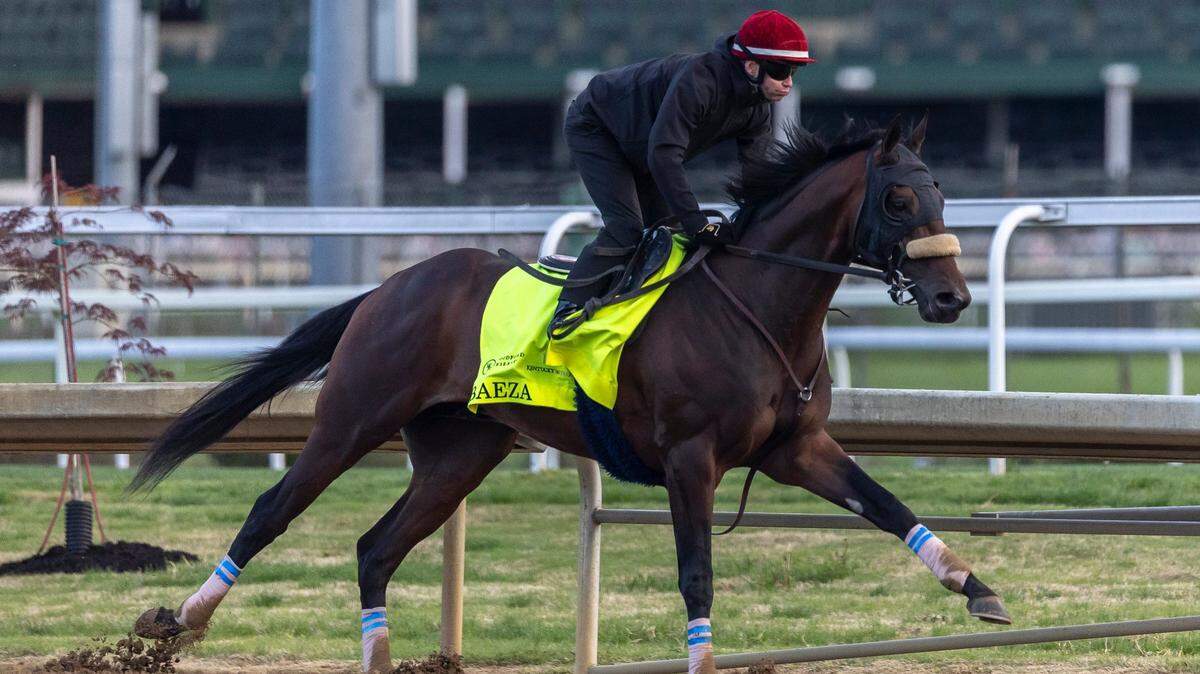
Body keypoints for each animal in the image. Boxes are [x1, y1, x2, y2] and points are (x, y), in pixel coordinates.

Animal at [130, 116, 1009, 674]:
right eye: (899, 199)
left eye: (941, 195)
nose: (952, 297)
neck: (758, 304)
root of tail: (390, 286)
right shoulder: (691, 460)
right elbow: (697, 574)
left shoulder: (798, 448)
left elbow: (886, 504)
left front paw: (977, 588)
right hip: (353, 417)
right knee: (272, 510)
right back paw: (180, 620)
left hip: (461, 453)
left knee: (376, 548)